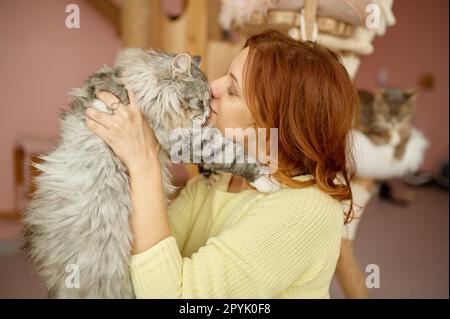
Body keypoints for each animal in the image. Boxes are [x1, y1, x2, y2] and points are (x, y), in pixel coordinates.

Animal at [22, 48, 262, 298]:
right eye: (201, 101)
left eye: (209, 102)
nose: (208, 114)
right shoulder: (181, 138)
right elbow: (229, 154)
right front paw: (264, 179)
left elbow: (220, 153)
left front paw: (213, 176)